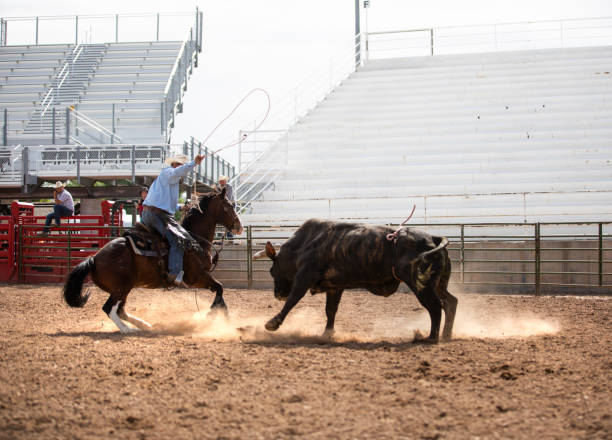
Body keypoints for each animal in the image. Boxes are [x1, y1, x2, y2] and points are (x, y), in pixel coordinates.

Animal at [62, 188, 241, 334]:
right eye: (230, 205)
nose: (239, 226)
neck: (194, 240)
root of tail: (94, 258)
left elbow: (220, 289)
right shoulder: (197, 277)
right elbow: (219, 287)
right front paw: (215, 313)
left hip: (123, 289)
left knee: (120, 310)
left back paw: (145, 325)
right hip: (121, 287)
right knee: (109, 308)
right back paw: (128, 330)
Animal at [255, 218, 460, 342]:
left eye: (272, 271)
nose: (278, 294)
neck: (304, 245)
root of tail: (433, 238)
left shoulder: (304, 278)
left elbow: (292, 301)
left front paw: (272, 323)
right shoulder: (334, 288)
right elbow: (331, 311)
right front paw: (327, 334)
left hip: (421, 286)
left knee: (435, 307)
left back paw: (431, 337)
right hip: (437, 284)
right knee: (450, 302)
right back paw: (446, 334)